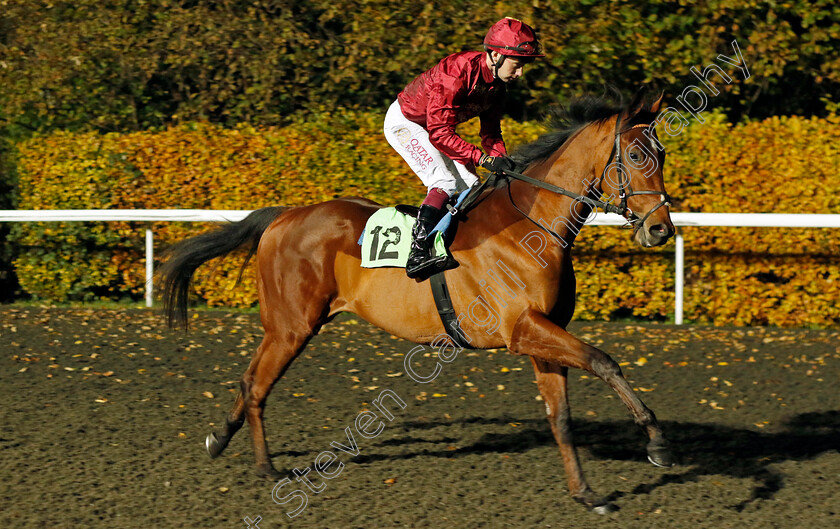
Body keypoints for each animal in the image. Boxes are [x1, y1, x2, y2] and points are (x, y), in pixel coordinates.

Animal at [161, 92, 680, 512]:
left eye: (662, 153)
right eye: (636, 154)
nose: (660, 230)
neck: (533, 226)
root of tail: (285, 215)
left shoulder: (543, 335)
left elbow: (562, 418)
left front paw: (586, 493)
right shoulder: (523, 330)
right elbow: (604, 360)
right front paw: (657, 441)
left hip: (288, 326)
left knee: (249, 379)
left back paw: (218, 439)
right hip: (293, 326)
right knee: (256, 384)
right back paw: (266, 467)